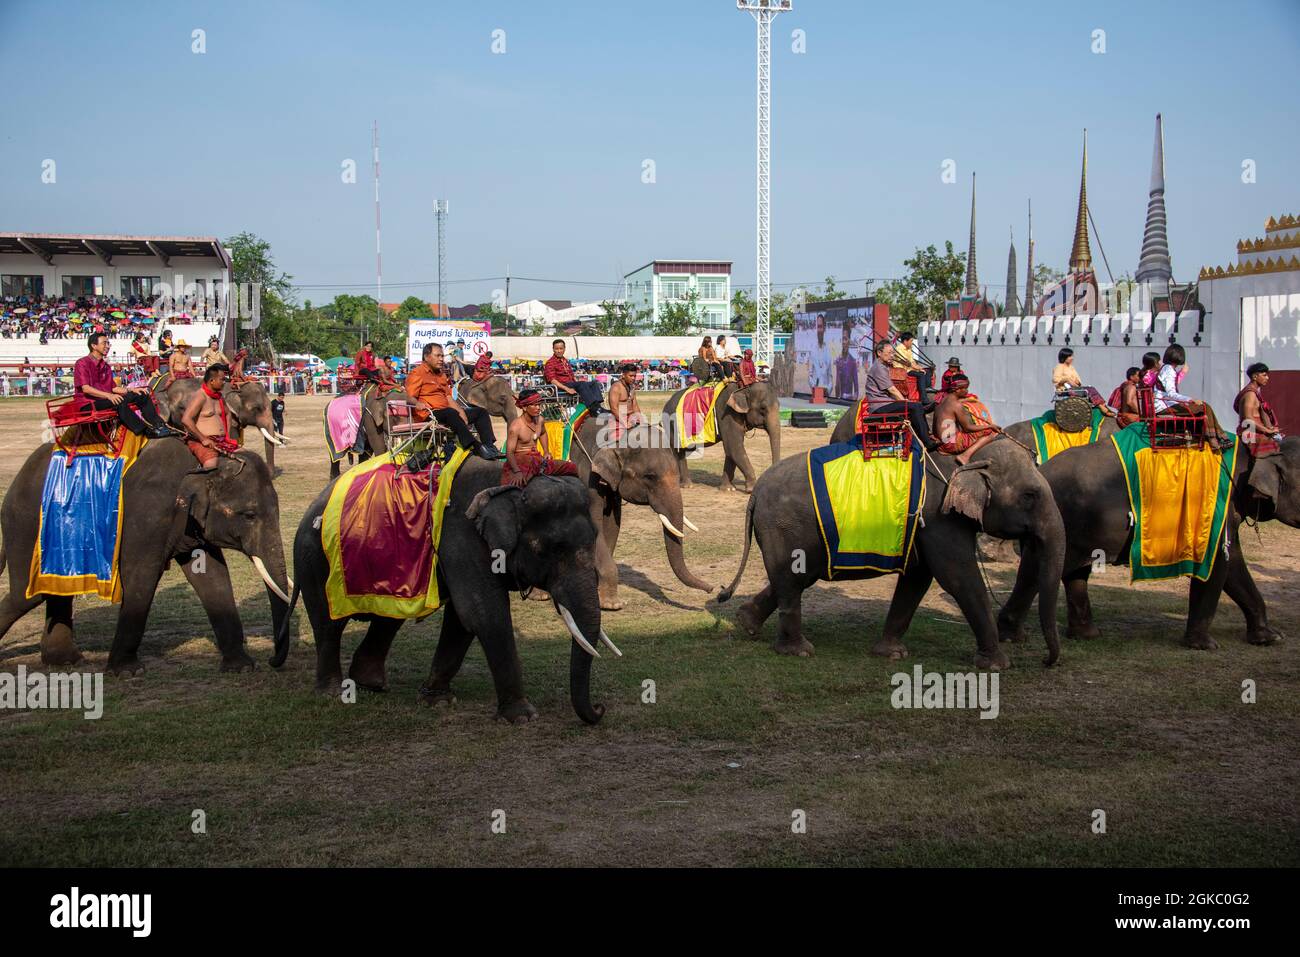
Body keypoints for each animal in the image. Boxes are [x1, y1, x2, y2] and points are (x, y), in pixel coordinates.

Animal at [0, 442, 292, 670]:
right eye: (249, 515)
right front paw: (127, 670)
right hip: (25, 523)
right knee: (27, 595)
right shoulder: (148, 515)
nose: (271, 661)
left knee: (54, 591)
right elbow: (142, 574)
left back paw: (65, 661)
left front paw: (241, 666)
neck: (204, 463)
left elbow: (212, 576)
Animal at [278, 460, 608, 722]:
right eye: (549, 550)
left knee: (387, 620)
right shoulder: (461, 538)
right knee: (328, 624)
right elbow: (482, 613)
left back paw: (371, 683)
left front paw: (437, 700)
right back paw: (333, 692)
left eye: (594, 538)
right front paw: (522, 716)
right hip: (313, 557)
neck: (508, 483)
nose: (600, 708)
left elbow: (462, 621)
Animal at [566, 418, 717, 613]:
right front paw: (613, 605)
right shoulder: (587, 475)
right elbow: (594, 526)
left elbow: (612, 524)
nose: (712, 589)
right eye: (650, 477)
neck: (615, 438)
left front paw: (603, 599)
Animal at [717, 434, 1060, 665]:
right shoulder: (940, 518)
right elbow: (957, 576)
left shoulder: (926, 526)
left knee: (797, 578)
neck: (968, 458)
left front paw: (892, 654)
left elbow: (917, 578)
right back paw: (799, 651)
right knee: (792, 579)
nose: (1047, 661)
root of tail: (755, 494)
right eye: (1030, 495)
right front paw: (997, 665)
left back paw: (747, 623)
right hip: (785, 525)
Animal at [993, 434, 1300, 650]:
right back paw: (1011, 636)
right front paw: (1205, 646)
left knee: (1075, 572)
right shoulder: (1214, 508)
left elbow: (1233, 564)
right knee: (1040, 570)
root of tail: (1041, 470)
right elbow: (1217, 566)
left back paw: (1087, 635)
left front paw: (1271, 637)